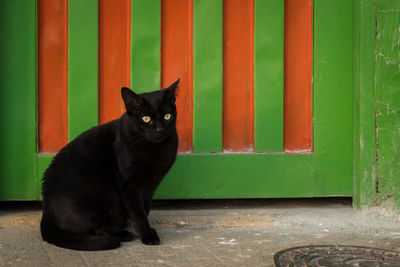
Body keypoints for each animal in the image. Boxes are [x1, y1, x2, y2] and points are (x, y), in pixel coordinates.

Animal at [39, 79, 180, 251]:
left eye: (167, 116)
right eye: (146, 119)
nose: (159, 129)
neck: (154, 149)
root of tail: (47, 213)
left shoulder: (150, 185)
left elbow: (145, 208)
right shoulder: (128, 183)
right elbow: (138, 212)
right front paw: (148, 235)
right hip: (100, 190)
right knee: (96, 229)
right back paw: (122, 234)